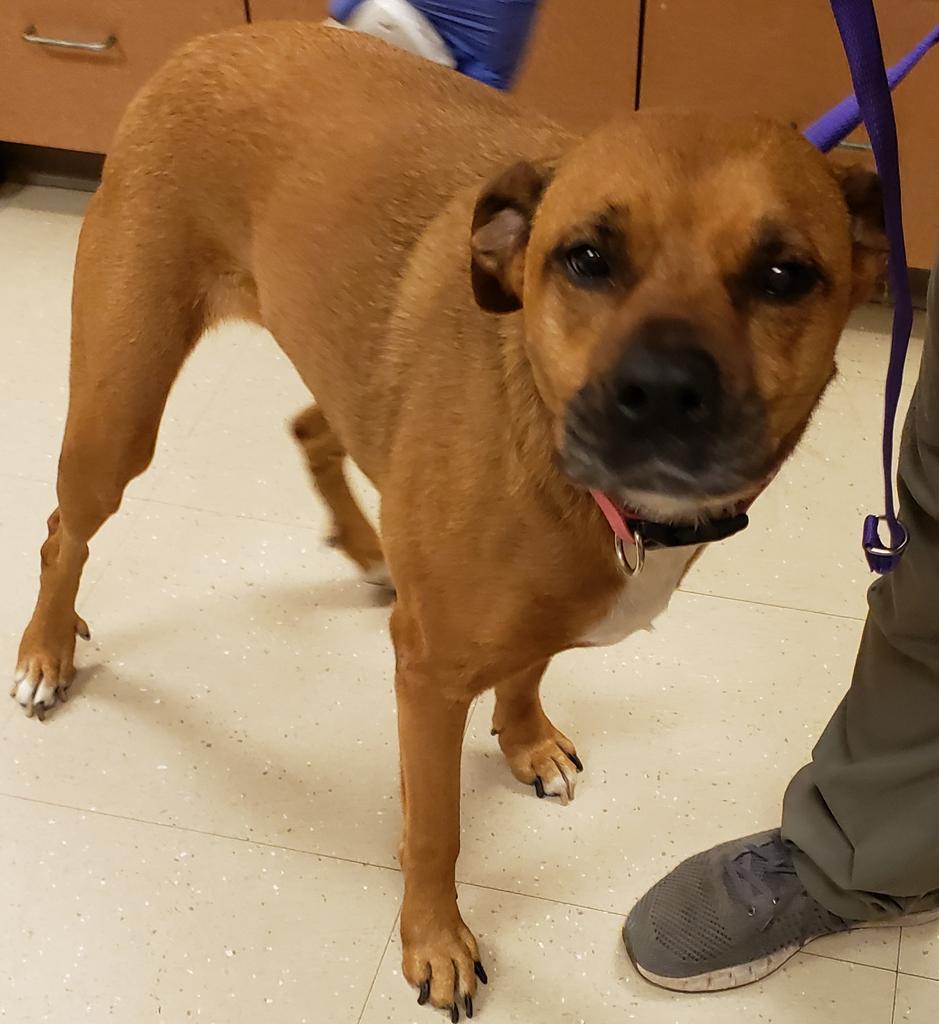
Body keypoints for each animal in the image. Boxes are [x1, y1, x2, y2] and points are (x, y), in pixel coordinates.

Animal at [11, 22, 886, 1018]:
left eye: (783, 276)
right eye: (586, 259)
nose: (660, 392)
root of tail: (213, 38)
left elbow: (529, 667)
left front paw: (526, 739)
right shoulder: (426, 679)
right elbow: (435, 830)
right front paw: (435, 942)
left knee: (310, 430)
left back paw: (368, 548)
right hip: (118, 412)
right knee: (62, 531)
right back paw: (46, 651)